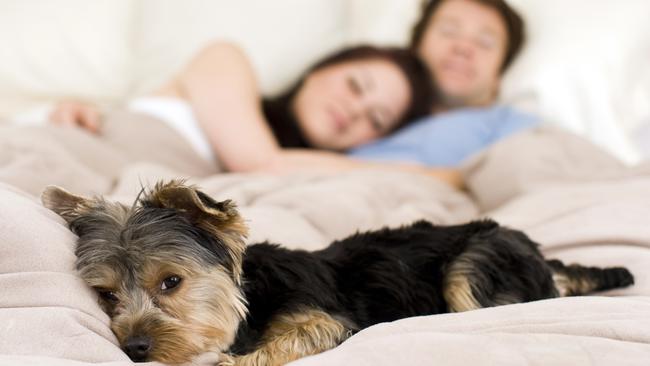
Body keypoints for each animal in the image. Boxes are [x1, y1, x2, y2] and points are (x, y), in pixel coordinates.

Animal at [41, 182, 632, 364]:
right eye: (107, 297)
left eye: (171, 283)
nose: (135, 348)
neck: (250, 302)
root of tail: (541, 254)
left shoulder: (324, 319)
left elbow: (284, 344)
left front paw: (234, 361)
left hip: (477, 261)